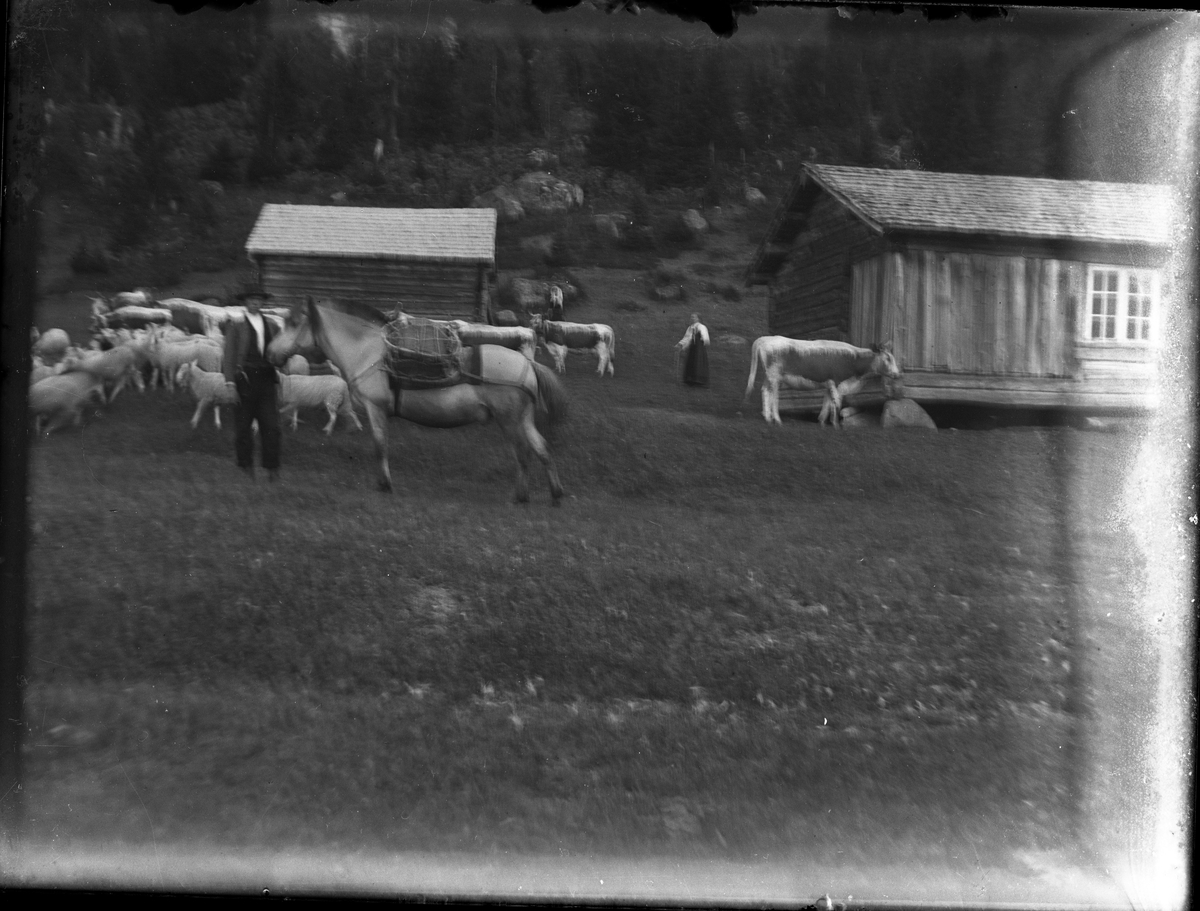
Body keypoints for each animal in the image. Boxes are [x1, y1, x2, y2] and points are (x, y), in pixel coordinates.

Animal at [270, 298, 568, 506]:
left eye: (294, 323)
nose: (271, 352)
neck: (367, 351)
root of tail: (527, 365)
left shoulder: (375, 409)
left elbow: (380, 446)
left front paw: (384, 484)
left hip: (510, 420)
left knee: (523, 454)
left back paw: (520, 496)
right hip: (523, 419)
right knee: (543, 450)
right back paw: (555, 494)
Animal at [739, 338, 902, 427]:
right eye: (888, 358)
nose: (897, 374)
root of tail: (765, 338)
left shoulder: (828, 384)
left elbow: (827, 404)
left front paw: (823, 423)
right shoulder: (836, 382)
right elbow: (836, 404)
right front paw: (836, 426)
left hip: (771, 377)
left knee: (764, 391)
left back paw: (767, 418)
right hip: (774, 376)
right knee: (772, 395)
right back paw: (776, 420)